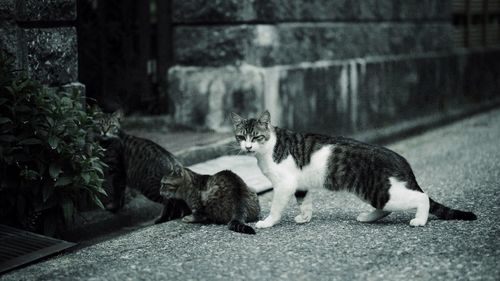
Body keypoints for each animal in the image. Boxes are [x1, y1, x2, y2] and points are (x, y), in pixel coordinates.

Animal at [230, 110, 476, 228]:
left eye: (257, 137)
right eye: (241, 137)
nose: (248, 147)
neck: (269, 147)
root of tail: (399, 159)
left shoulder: (285, 184)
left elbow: (276, 207)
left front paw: (267, 222)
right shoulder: (300, 184)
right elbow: (305, 202)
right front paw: (305, 217)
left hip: (382, 192)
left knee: (421, 198)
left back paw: (420, 220)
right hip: (377, 192)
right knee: (386, 208)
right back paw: (368, 217)